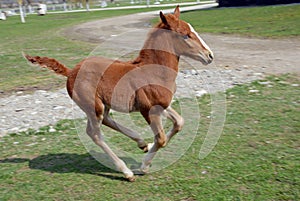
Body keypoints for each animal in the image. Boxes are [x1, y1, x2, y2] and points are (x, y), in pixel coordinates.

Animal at [25, 6, 213, 182]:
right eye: (185, 36)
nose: (209, 56)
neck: (154, 70)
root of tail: (71, 72)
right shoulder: (148, 109)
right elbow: (161, 139)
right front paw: (143, 166)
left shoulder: (162, 105)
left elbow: (179, 122)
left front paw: (147, 149)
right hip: (94, 107)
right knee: (94, 134)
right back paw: (127, 172)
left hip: (103, 105)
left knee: (106, 120)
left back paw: (141, 143)